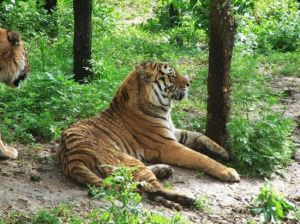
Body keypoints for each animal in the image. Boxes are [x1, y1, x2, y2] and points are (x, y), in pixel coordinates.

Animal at [58, 60, 240, 209]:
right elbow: (201, 158)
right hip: (125, 160)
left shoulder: (172, 132)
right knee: (150, 188)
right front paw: (228, 171)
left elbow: (199, 136)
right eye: (172, 75)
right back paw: (187, 199)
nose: (189, 82)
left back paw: (164, 171)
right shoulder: (168, 145)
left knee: (138, 184)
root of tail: (72, 158)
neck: (163, 109)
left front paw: (221, 151)